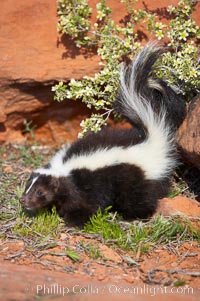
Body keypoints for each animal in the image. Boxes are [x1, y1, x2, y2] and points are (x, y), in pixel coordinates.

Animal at [19, 45, 185, 225]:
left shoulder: (83, 185)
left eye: (40, 192)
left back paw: (134, 216)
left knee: (140, 198)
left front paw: (74, 220)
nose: (23, 200)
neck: (63, 169)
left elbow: (82, 203)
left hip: (136, 178)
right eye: (27, 186)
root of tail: (151, 139)